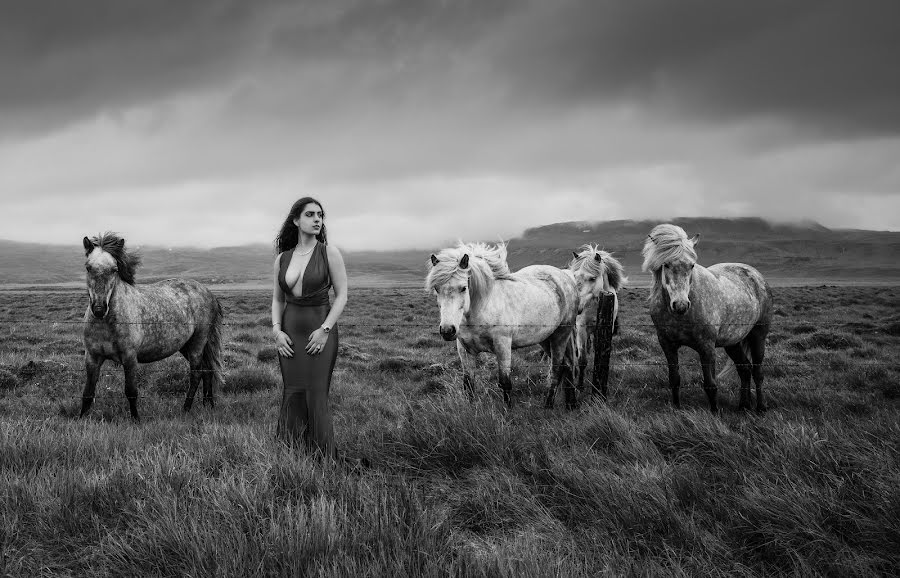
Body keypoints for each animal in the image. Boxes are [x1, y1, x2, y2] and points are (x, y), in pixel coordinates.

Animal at [81, 231, 225, 418]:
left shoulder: (130, 358)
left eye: (114, 269)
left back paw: (186, 409)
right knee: (207, 371)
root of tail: (209, 292)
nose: (99, 309)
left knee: (196, 374)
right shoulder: (92, 358)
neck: (106, 325)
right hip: (186, 346)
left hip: (197, 344)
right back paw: (209, 405)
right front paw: (81, 418)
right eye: (88, 267)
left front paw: (136, 419)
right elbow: (87, 393)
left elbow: (131, 391)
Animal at [428, 241, 580, 408]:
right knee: (568, 365)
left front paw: (508, 411)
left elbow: (505, 382)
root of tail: (566, 277)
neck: (481, 309)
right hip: (546, 339)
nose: (447, 330)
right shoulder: (464, 350)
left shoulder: (503, 345)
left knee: (557, 370)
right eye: (436, 288)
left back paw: (548, 406)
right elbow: (468, 383)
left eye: (463, 288)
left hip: (560, 335)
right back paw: (571, 404)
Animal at [568, 244, 624, 392]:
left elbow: (600, 352)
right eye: (575, 276)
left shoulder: (605, 328)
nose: (576, 305)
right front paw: (580, 386)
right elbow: (582, 360)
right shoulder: (581, 327)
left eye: (593, 278)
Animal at [640, 223, 772, 412]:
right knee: (745, 369)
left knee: (757, 372)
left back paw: (761, 407)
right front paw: (676, 408)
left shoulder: (706, 347)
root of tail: (756, 275)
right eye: (666, 264)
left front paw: (714, 412)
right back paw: (743, 406)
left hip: (758, 336)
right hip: (733, 342)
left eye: (692, 265)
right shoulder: (667, 345)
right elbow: (674, 379)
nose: (681, 305)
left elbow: (710, 384)